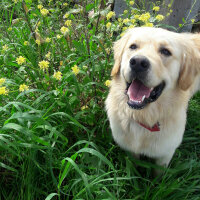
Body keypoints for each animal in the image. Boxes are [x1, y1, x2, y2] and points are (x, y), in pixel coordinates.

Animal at [105, 27, 199, 172]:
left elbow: (159, 174)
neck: (143, 117)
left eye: (166, 51)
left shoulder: (165, 155)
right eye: (133, 46)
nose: (138, 62)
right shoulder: (131, 150)